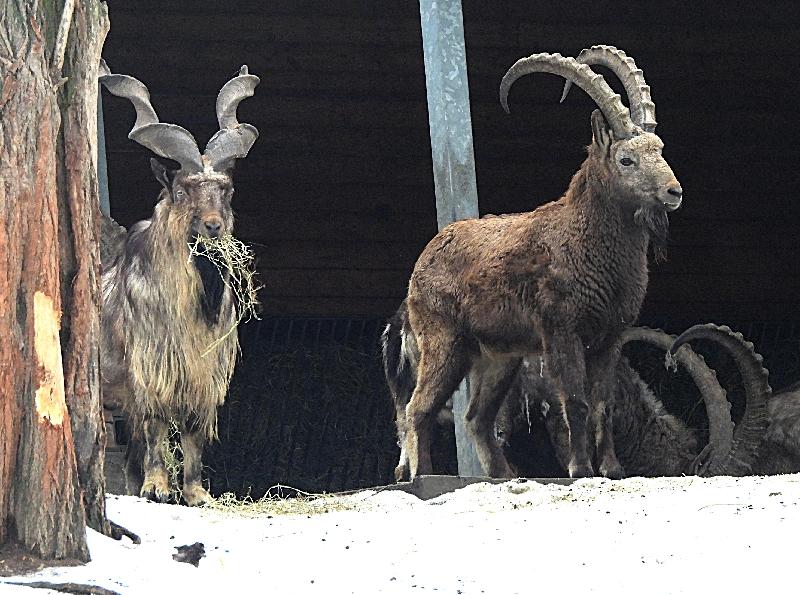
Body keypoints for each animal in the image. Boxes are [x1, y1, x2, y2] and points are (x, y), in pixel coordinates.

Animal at [99, 63, 259, 505]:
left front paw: (195, 492)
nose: (213, 226)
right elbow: (157, 425)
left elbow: (192, 433)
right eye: (183, 190)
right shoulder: (152, 369)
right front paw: (157, 488)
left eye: (226, 188)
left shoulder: (202, 375)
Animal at [402, 46, 682, 479]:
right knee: (419, 408)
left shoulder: (611, 336)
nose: (674, 191)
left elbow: (604, 404)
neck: (584, 240)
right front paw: (580, 468)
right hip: (443, 342)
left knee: (476, 418)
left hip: (498, 358)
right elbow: (576, 401)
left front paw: (612, 468)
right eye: (626, 159)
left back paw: (503, 476)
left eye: (660, 150)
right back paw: (424, 477)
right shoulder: (561, 330)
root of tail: (424, 257)